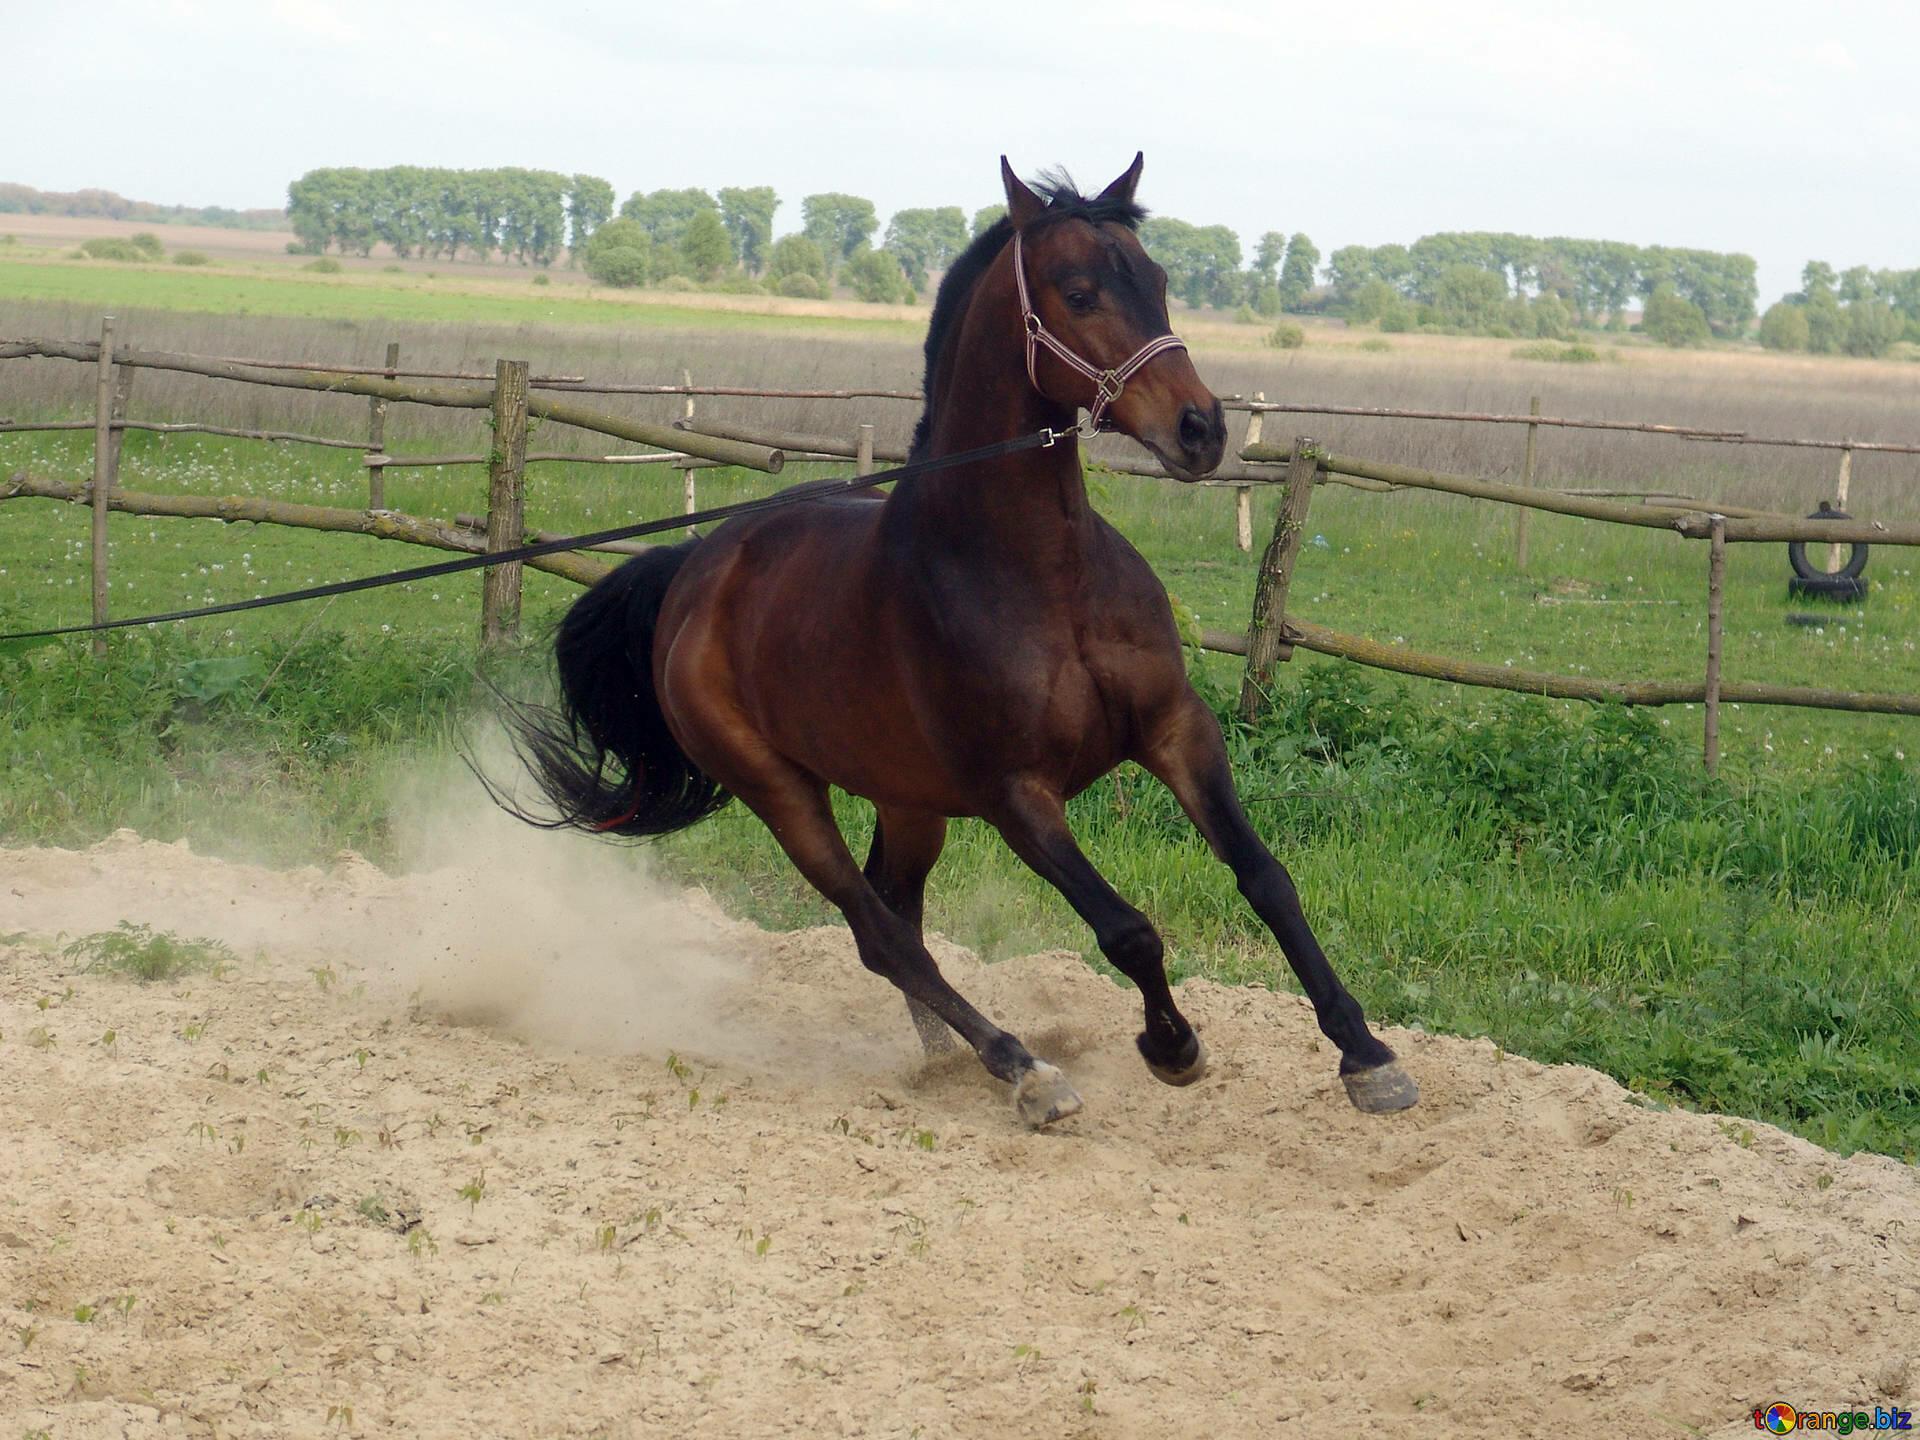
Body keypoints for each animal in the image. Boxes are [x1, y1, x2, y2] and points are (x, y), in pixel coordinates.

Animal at [503, 155, 1420, 1128]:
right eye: (1079, 291)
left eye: (1161, 279)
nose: (1201, 429)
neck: (1041, 575)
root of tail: (694, 570)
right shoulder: (1016, 793)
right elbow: (1127, 931)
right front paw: (1171, 1047)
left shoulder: (1176, 731)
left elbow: (1265, 878)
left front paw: (1367, 1056)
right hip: (781, 792)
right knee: (879, 933)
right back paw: (1020, 1066)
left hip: (909, 801)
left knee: (899, 913)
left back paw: (947, 1059)